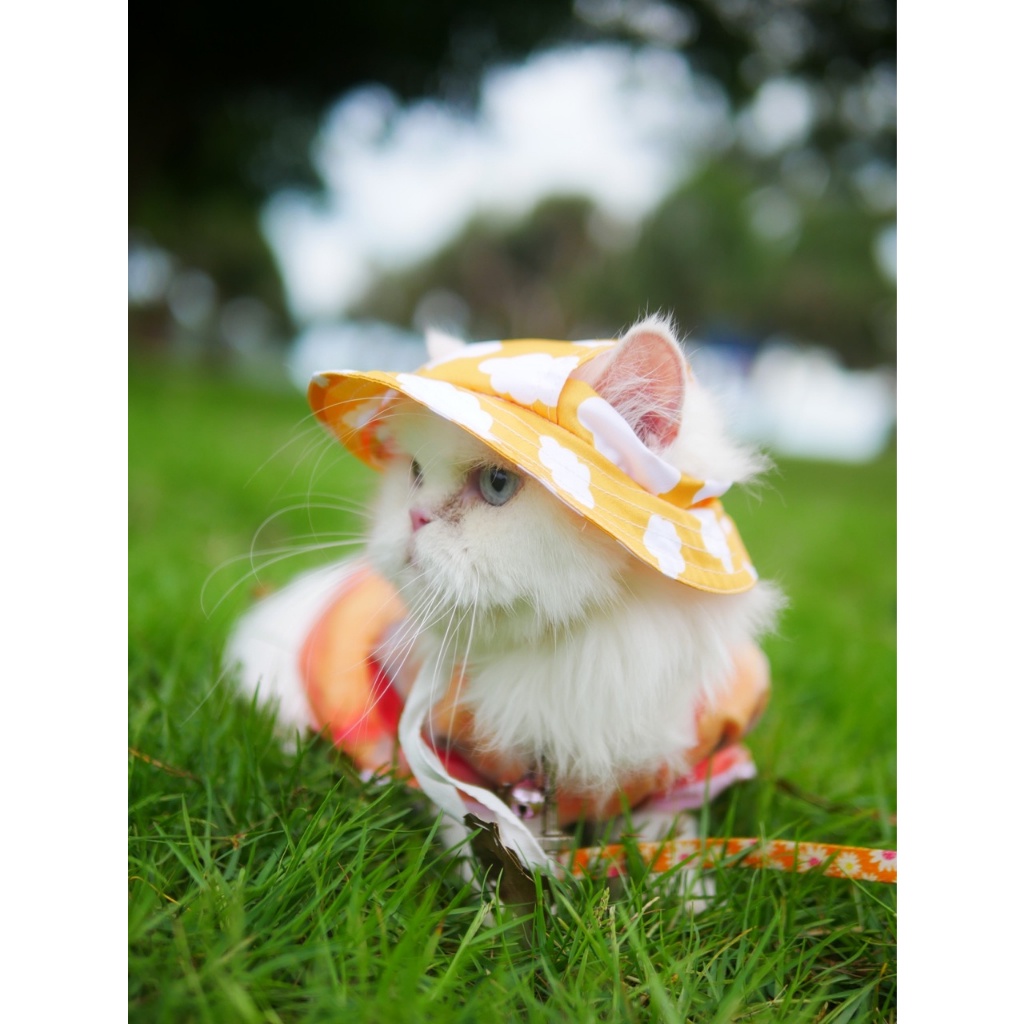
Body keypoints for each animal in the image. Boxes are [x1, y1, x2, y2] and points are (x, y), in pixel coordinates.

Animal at [226, 314, 782, 898]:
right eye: (415, 474)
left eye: (497, 483)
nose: (415, 517)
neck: (564, 651)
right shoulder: (445, 757)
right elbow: (482, 831)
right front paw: (494, 898)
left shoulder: (691, 764)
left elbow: (665, 834)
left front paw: (684, 896)